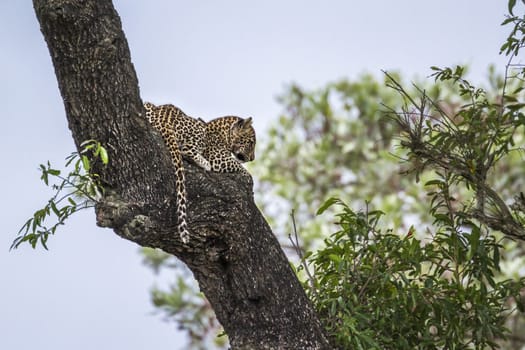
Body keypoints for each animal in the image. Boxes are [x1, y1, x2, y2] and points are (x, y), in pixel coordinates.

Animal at [143, 101, 254, 243]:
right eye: (251, 142)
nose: (253, 158)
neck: (225, 133)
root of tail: (163, 118)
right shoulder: (217, 158)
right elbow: (241, 167)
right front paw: (249, 179)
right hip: (198, 133)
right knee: (186, 150)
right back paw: (205, 164)